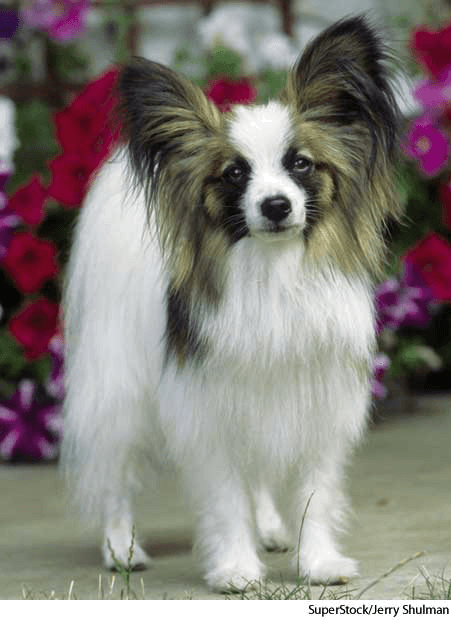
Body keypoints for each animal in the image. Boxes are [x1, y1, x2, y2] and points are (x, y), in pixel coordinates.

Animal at [61, 16, 402, 592]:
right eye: (234, 174)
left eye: (301, 164)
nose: (277, 204)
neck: (272, 273)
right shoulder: (207, 408)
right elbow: (224, 497)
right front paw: (237, 569)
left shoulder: (315, 399)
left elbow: (315, 491)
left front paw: (318, 563)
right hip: (120, 387)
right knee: (116, 472)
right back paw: (121, 547)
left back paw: (268, 527)